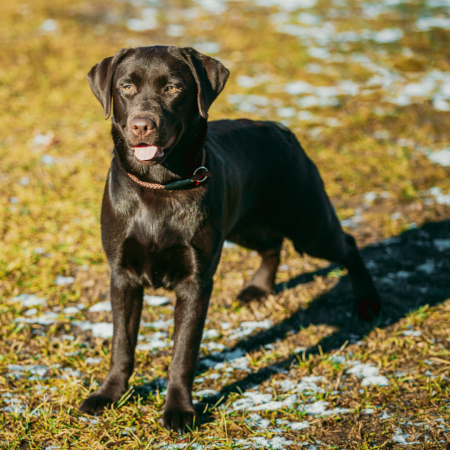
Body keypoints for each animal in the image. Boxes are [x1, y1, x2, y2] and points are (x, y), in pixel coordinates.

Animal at [80, 45, 380, 432]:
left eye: (173, 88)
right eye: (127, 87)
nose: (142, 125)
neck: (159, 188)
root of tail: (280, 127)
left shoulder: (196, 282)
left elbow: (184, 353)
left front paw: (180, 410)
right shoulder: (122, 276)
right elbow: (122, 346)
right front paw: (109, 395)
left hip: (309, 226)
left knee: (349, 245)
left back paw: (368, 303)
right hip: (244, 228)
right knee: (272, 244)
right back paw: (258, 288)